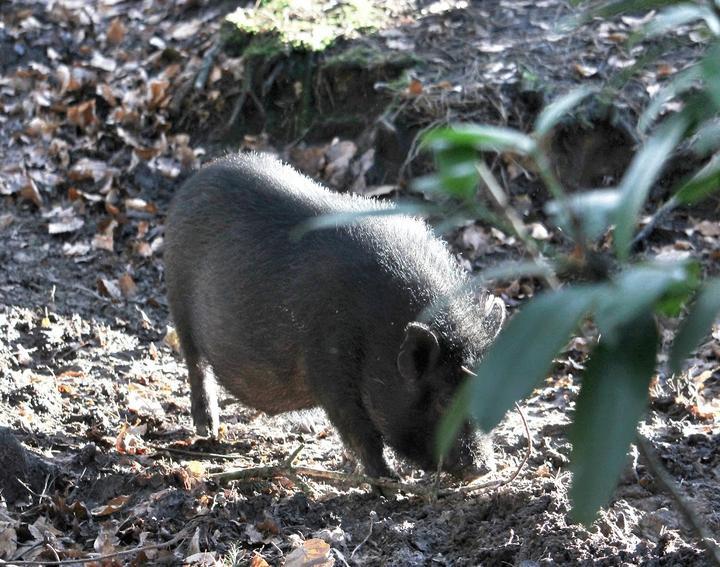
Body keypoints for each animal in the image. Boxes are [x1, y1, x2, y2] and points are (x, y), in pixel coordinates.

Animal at [165, 154, 504, 480]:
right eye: (444, 400)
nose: (484, 468)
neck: (383, 334)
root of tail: (193, 181)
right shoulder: (330, 370)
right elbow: (362, 436)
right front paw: (391, 483)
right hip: (177, 300)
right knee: (195, 363)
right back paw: (206, 429)